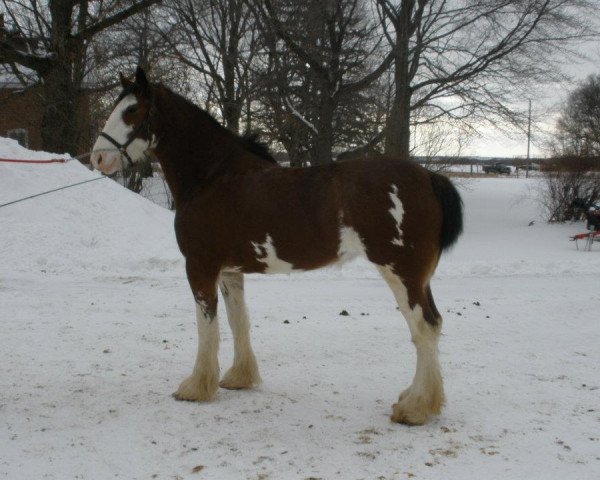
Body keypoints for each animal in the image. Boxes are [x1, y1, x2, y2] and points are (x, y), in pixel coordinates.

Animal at [90, 66, 464, 424]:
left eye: (132, 110)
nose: (98, 159)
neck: (213, 177)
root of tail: (428, 177)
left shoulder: (200, 267)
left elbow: (207, 327)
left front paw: (196, 387)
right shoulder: (229, 271)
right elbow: (238, 321)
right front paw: (239, 378)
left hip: (401, 272)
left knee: (423, 327)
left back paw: (415, 409)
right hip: (417, 278)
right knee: (433, 325)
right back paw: (415, 398)